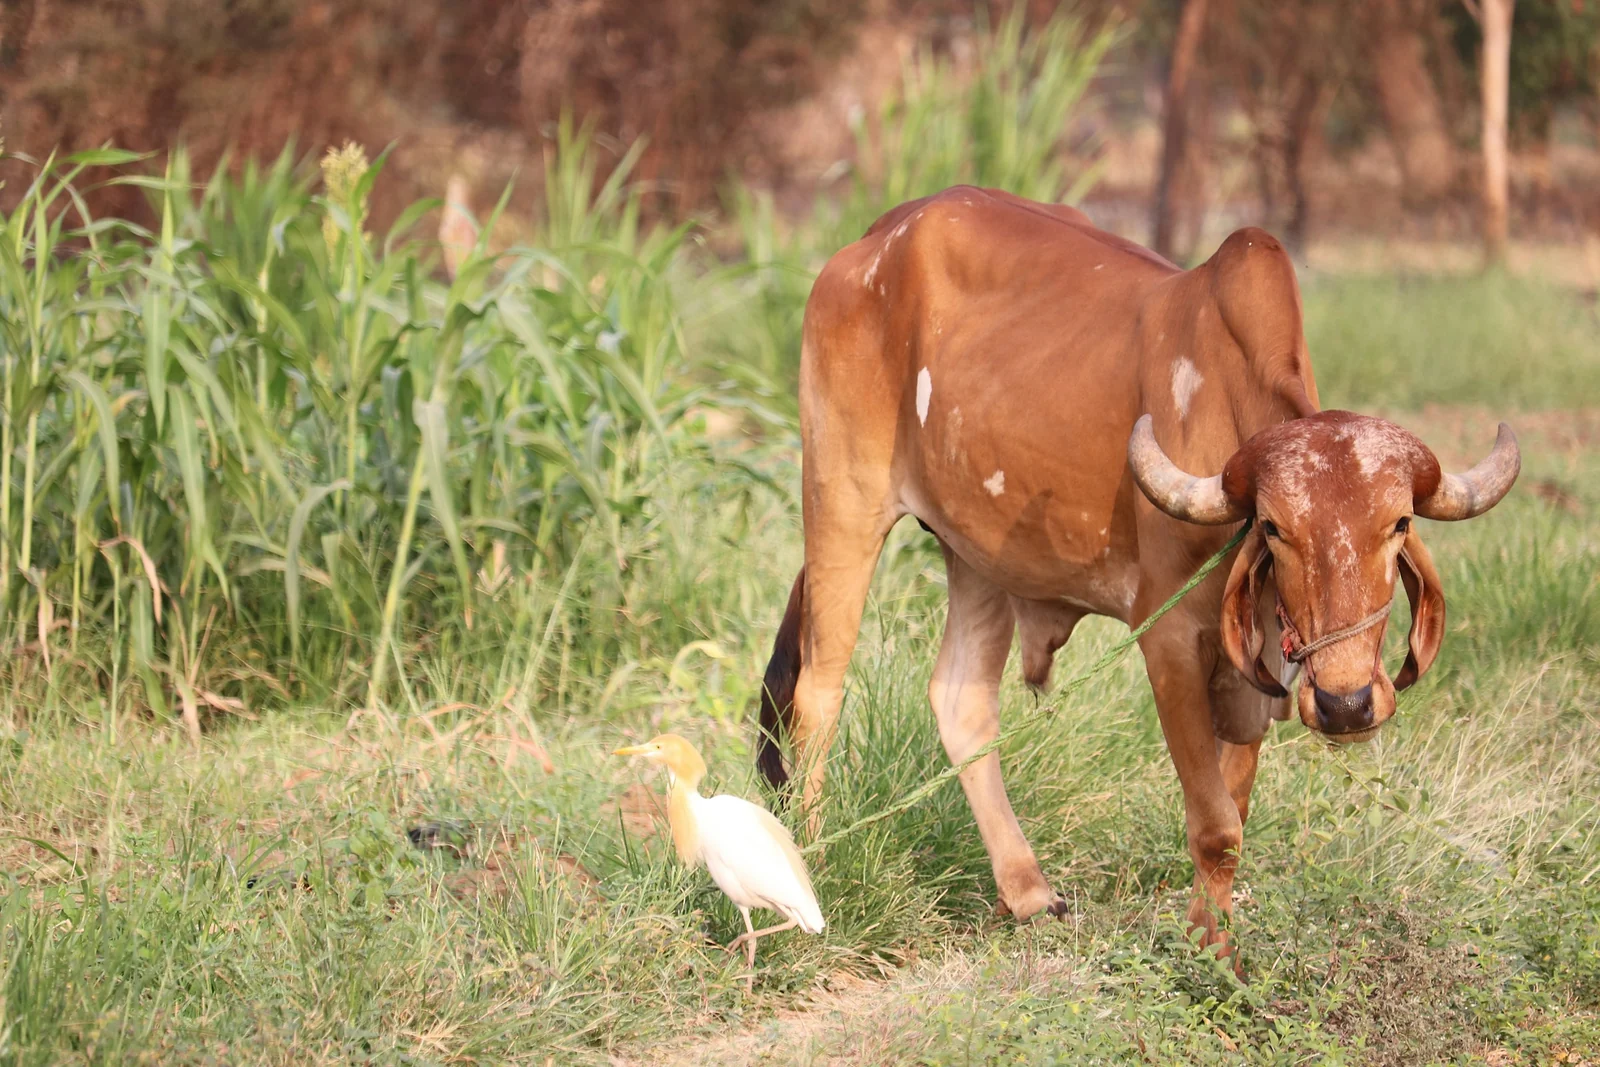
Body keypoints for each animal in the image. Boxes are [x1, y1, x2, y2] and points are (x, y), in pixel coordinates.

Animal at [754, 186, 1520, 964]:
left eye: (1398, 525)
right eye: (1276, 528)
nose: (1346, 705)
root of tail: (874, 239)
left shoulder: (1258, 666)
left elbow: (1234, 805)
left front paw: (1210, 934)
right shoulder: (1169, 638)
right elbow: (1214, 822)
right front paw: (1212, 958)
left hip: (976, 552)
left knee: (960, 701)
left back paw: (1028, 891)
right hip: (842, 496)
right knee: (817, 694)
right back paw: (816, 864)